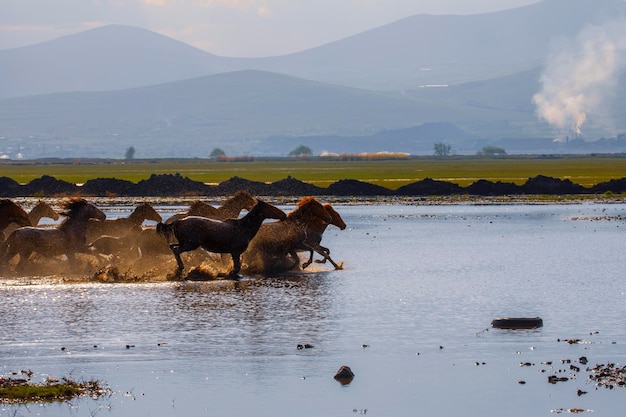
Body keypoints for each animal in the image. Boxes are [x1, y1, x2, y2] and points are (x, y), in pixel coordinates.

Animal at [156, 198, 286, 276]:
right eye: (270, 207)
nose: (283, 215)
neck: (245, 228)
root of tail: (177, 222)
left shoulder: (234, 252)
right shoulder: (235, 251)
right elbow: (236, 269)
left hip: (185, 243)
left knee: (172, 247)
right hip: (190, 244)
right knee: (176, 250)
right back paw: (181, 269)